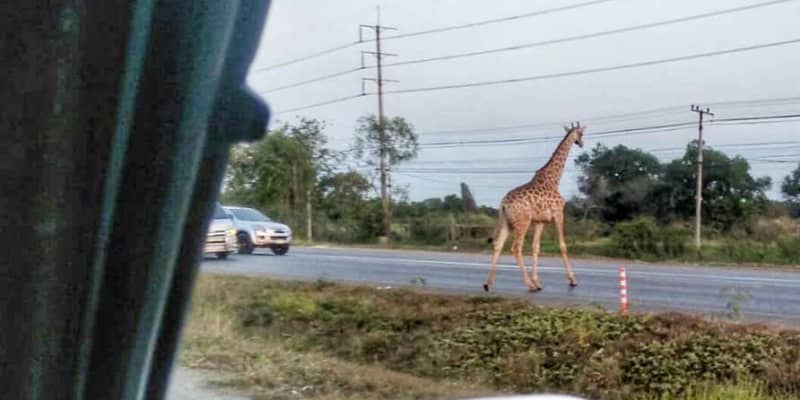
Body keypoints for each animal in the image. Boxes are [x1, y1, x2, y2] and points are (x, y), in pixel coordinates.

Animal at [484, 120, 584, 292]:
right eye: (581, 133)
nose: (581, 143)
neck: (554, 179)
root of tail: (503, 203)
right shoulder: (558, 214)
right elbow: (562, 245)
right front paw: (572, 280)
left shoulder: (540, 221)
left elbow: (536, 248)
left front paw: (537, 281)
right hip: (522, 222)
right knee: (516, 248)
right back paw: (529, 285)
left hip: (507, 222)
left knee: (498, 245)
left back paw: (488, 284)